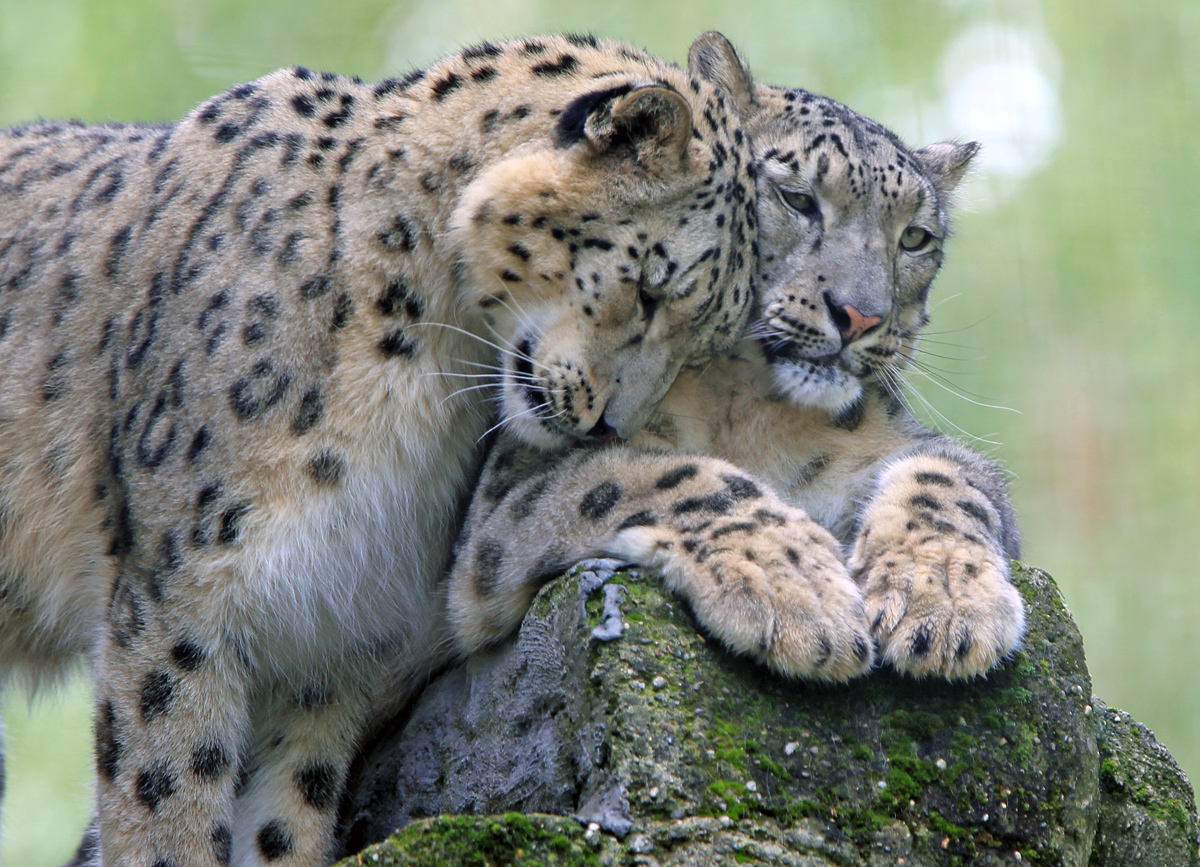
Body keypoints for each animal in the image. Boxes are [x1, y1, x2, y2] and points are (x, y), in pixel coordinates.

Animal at [451, 32, 1022, 682]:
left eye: (915, 238)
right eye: (797, 198)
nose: (860, 316)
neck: (746, 407)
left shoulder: (895, 441)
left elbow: (949, 477)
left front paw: (944, 603)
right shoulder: (516, 484)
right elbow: (647, 473)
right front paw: (797, 596)